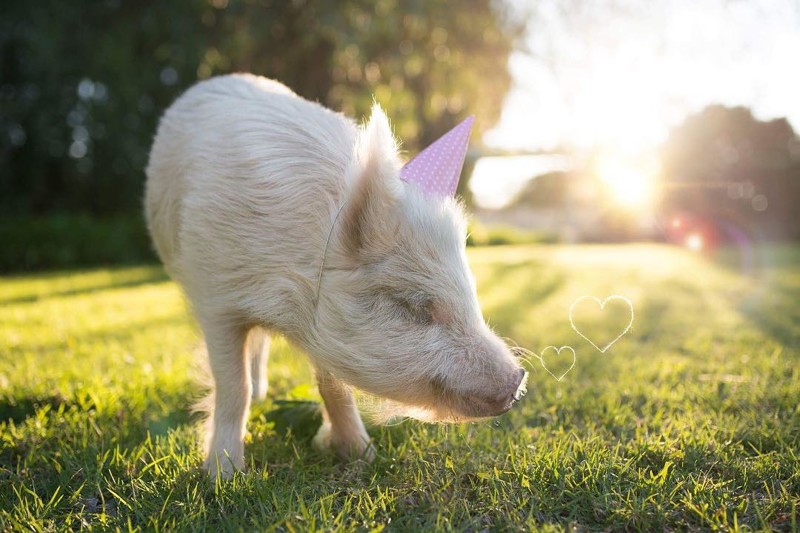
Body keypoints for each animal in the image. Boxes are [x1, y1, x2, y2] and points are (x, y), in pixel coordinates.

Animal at [145, 72, 524, 476]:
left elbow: (333, 385)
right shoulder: (215, 299)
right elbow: (233, 386)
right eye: (412, 305)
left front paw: (362, 454)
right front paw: (223, 476)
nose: (519, 379)